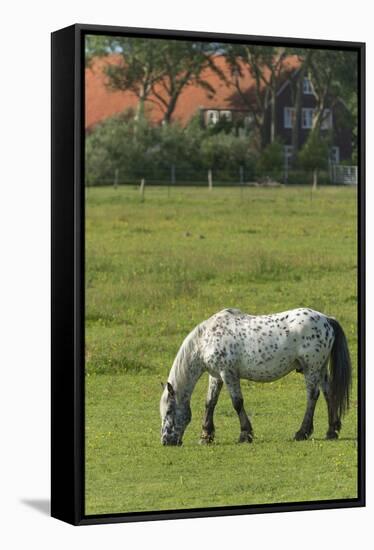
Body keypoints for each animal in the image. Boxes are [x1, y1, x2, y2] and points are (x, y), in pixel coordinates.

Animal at [159, 308, 352, 446]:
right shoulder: (216, 376)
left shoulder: (228, 374)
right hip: (320, 369)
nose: (166, 441)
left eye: (169, 411)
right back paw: (332, 431)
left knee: (313, 396)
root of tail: (327, 319)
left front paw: (245, 434)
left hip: (311, 368)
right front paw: (206, 436)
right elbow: (210, 403)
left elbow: (237, 403)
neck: (206, 339)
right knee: (329, 394)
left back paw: (302, 432)